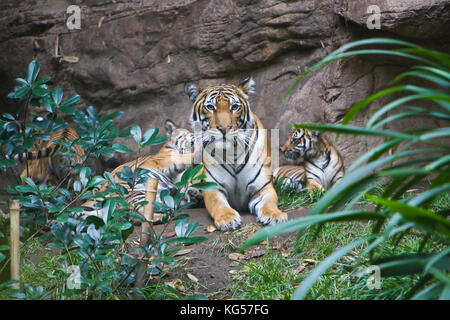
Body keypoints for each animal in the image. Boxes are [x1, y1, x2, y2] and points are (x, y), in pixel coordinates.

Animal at [185, 78, 286, 232]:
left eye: (234, 107)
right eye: (210, 107)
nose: (223, 128)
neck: (231, 152)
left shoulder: (262, 187)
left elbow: (269, 202)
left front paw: (275, 215)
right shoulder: (213, 188)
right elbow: (218, 204)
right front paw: (228, 219)